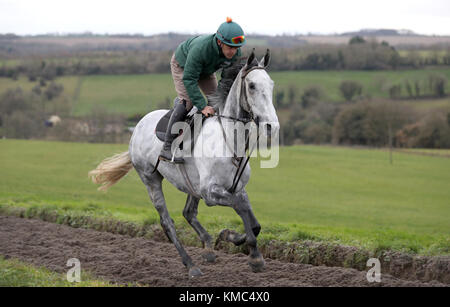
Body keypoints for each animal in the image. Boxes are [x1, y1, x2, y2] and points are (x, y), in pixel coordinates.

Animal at [88, 50, 278, 280]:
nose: (272, 126)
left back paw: (207, 248)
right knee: (167, 222)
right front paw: (254, 256)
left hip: (190, 185)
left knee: (188, 212)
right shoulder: (210, 192)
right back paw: (191, 265)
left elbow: (255, 223)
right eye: (251, 86)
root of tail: (137, 127)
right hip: (150, 179)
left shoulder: (238, 188)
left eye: (271, 84)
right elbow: (240, 208)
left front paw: (229, 237)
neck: (228, 140)